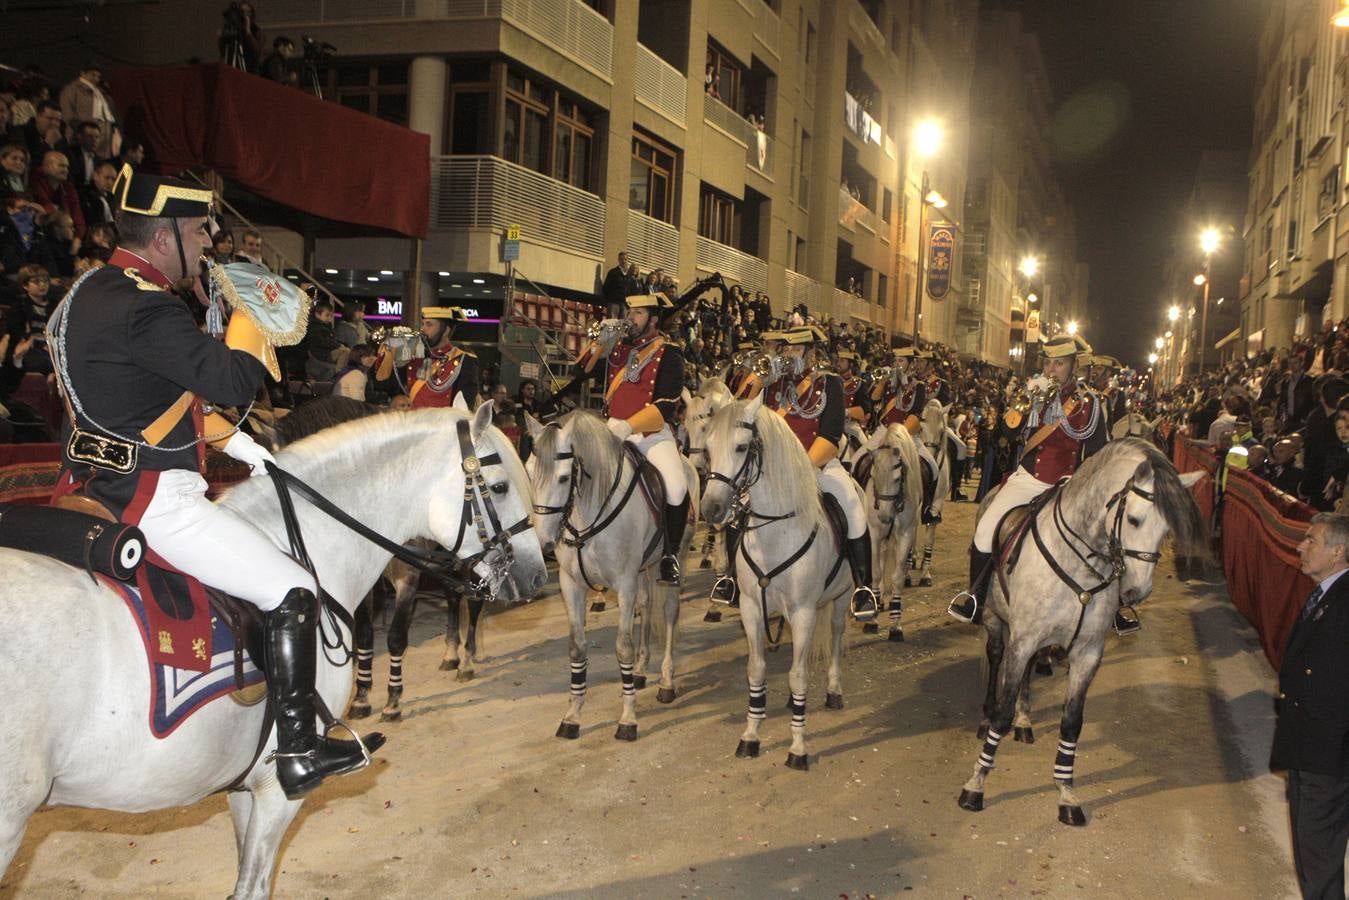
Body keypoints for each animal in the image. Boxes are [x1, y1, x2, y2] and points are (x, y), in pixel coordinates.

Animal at [526, 412, 701, 744]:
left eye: (564, 478)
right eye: (529, 474)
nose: (544, 544)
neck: (588, 518)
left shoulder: (624, 585)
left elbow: (623, 646)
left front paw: (628, 719)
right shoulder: (572, 585)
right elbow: (577, 646)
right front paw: (572, 716)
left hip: (677, 560)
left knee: (669, 613)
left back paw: (666, 681)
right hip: (645, 568)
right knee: (646, 605)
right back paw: (642, 670)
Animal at [701, 391, 847, 771]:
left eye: (741, 447)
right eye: (707, 447)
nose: (710, 509)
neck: (777, 530)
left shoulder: (804, 612)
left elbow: (798, 675)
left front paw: (798, 748)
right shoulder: (752, 608)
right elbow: (756, 669)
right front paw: (750, 736)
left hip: (841, 598)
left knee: (836, 636)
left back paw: (834, 690)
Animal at [960, 439, 1203, 825]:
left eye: (1167, 530)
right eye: (1133, 519)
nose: (1137, 591)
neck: (1081, 565)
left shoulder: (1087, 653)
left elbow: (1072, 722)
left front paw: (1067, 794)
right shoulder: (1022, 642)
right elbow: (1002, 710)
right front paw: (976, 784)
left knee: (1029, 674)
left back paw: (1025, 721)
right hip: (997, 621)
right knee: (996, 658)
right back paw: (987, 718)